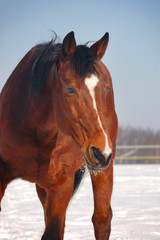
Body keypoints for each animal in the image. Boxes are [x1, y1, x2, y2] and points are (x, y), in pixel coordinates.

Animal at [0, 32, 117, 240]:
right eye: (69, 89)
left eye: (106, 89)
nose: (101, 151)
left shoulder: (61, 185)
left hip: (103, 171)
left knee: (101, 219)